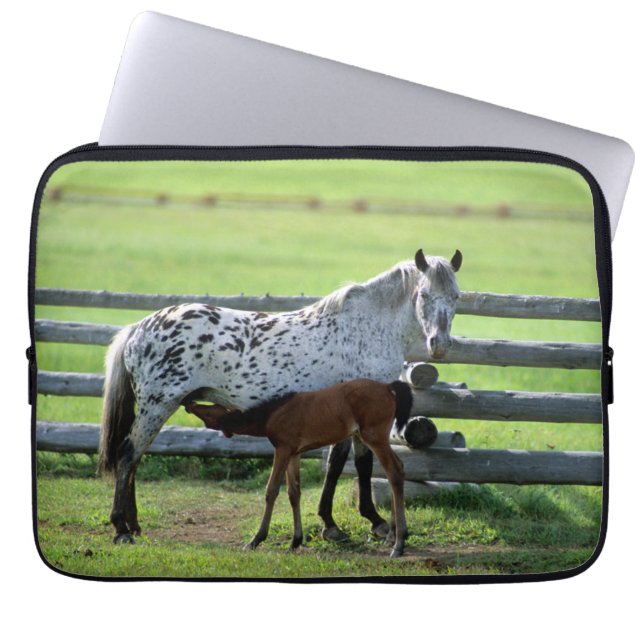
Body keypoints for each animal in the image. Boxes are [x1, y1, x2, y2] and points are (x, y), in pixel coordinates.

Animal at [185, 379, 414, 557]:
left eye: (209, 411)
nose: (189, 403)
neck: (273, 413)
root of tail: (387, 387)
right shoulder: (294, 453)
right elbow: (294, 493)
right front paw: (295, 541)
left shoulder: (283, 449)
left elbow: (271, 490)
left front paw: (256, 539)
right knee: (398, 468)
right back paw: (392, 536)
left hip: (374, 437)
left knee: (394, 471)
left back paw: (398, 543)